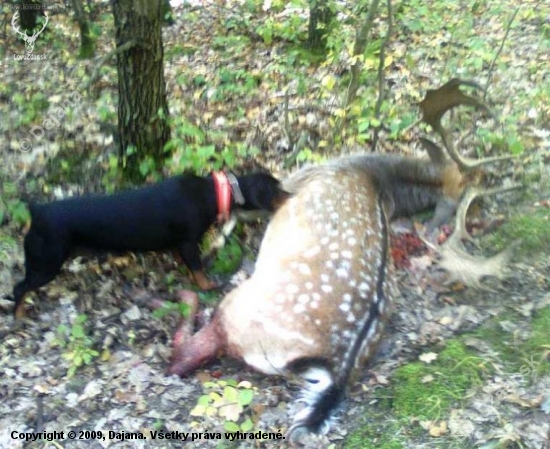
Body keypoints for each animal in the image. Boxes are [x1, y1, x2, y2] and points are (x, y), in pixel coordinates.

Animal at [12, 170, 288, 316]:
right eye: (276, 189)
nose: (292, 194)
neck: (214, 193)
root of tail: (36, 212)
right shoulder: (188, 242)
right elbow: (198, 270)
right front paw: (208, 286)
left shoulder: (181, 245)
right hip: (46, 264)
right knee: (18, 288)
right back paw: (19, 315)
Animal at [164, 79, 520, 438]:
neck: (375, 175)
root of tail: (338, 372)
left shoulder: (296, 181)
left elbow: (242, 210)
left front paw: (214, 243)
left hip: (239, 312)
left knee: (183, 357)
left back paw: (181, 298)